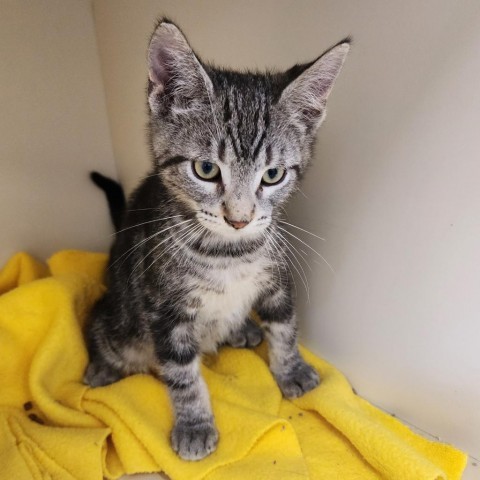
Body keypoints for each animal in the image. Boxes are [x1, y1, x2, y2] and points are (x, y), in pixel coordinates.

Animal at [84, 19, 348, 462]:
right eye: (206, 169)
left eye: (273, 175)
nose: (239, 219)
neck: (230, 252)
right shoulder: (164, 310)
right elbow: (182, 375)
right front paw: (194, 425)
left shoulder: (277, 278)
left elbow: (285, 326)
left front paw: (291, 368)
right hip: (121, 321)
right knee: (98, 327)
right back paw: (101, 368)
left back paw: (241, 329)